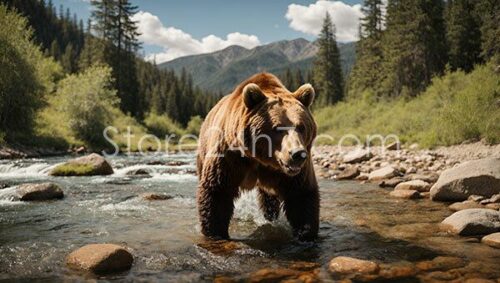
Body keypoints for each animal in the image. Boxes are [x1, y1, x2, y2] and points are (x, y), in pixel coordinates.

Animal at [196, 72, 318, 241]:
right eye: (277, 128)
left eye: (301, 126)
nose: (297, 154)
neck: (260, 158)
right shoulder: (230, 156)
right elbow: (218, 191)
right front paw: (215, 232)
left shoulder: (294, 172)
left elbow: (301, 195)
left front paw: (305, 234)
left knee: (269, 198)